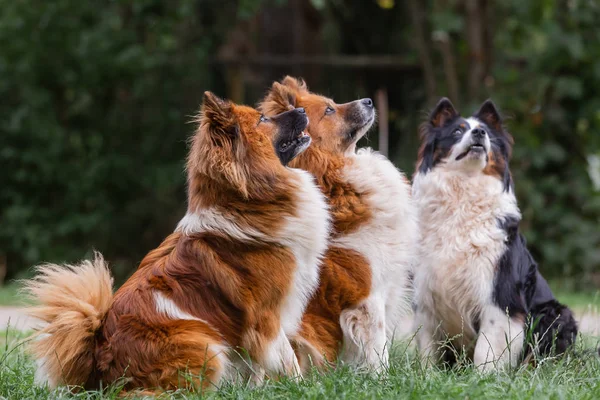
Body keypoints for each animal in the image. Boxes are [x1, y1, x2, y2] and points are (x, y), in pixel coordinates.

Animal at [24, 92, 332, 392]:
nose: (302, 110)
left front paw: (257, 390)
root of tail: (96, 370)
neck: (246, 203)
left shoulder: (256, 326)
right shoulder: (268, 315)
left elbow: (257, 364)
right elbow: (287, 357)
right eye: (263, 119)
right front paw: (302, 386)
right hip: (204, 343)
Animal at [260, 77, 420, 372]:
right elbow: (378, 349)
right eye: (329, 110)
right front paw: (382, 378)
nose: (369, 100)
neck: (333, 180)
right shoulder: (367, 296)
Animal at [412, 97, 576, 372]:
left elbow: (487, 347)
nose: (479, 133)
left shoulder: (500, 294)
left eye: (486, 132)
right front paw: (427, 375)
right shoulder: (426, 290)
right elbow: (427, 346)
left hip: (556, 315)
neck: (464, 192)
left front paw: (484, 376)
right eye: (457, 131)